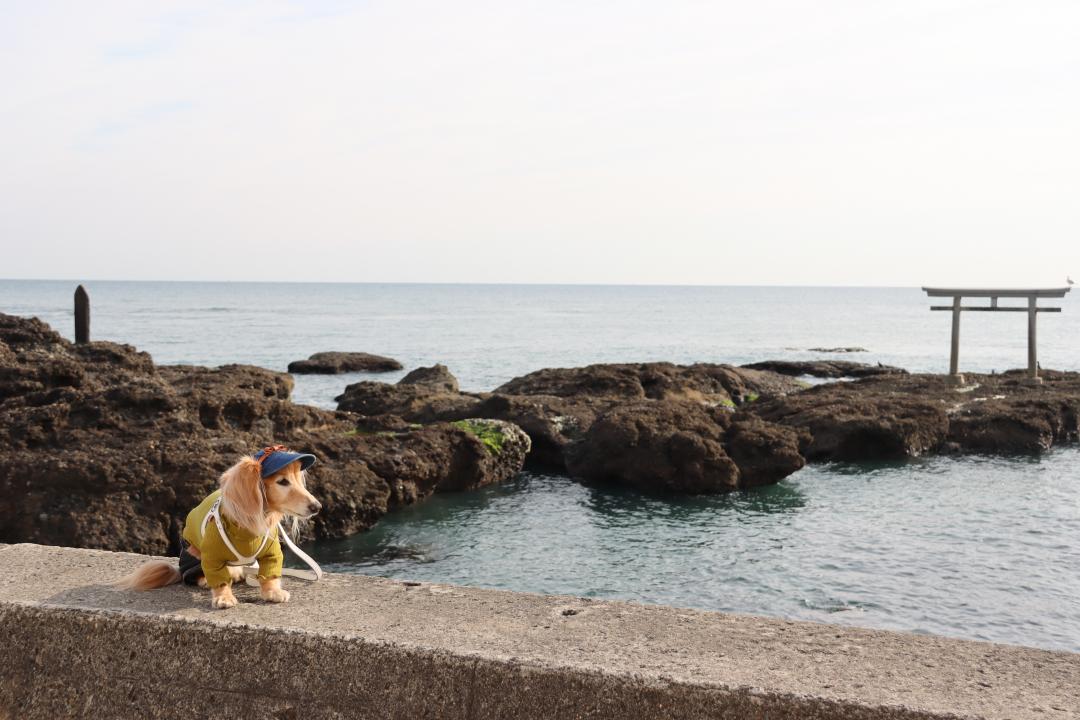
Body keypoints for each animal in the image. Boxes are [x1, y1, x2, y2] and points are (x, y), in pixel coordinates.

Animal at [119, 446, 319, 613]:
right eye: (282, 482)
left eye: (297, 480)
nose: (317, 506)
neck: (248, 526)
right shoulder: (212, 555)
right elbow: (219, 578)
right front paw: (224, 597)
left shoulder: (271, 552)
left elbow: (270, 571)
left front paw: (272, 592)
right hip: (193, 555)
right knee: (193, 575)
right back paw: (207, 580)